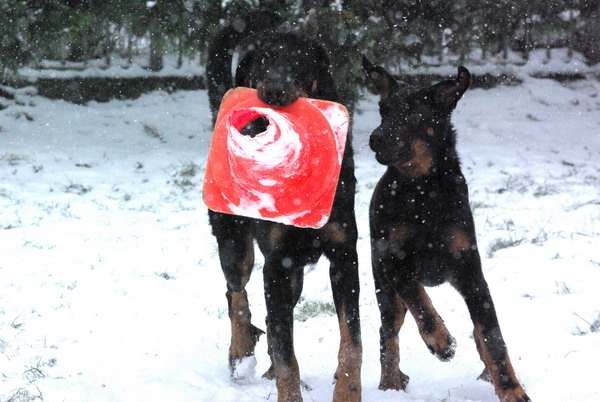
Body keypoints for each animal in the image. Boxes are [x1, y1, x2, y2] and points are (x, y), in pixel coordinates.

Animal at [204, 11, 364, 400]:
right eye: (263, 61)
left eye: (299, 61)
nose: (275, 88)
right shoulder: (276, 263)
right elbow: (285, 350)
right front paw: (288, 389)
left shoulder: (344, 255)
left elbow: (351, 340)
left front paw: (348, 390)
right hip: (235, 242)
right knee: (236, 293)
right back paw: (240, 354)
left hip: (295, 275)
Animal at [360, 56, 528, 402]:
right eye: (383, 109)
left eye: (413, 112)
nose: (375, 138)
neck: (423, 190)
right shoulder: (392, 260)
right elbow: (419, 298)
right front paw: (440, 341)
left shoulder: (470, 271)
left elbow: (493, 338)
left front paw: (511, 390)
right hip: (384, 288)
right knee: (388, 333)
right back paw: (390, 384)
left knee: (479, 332)